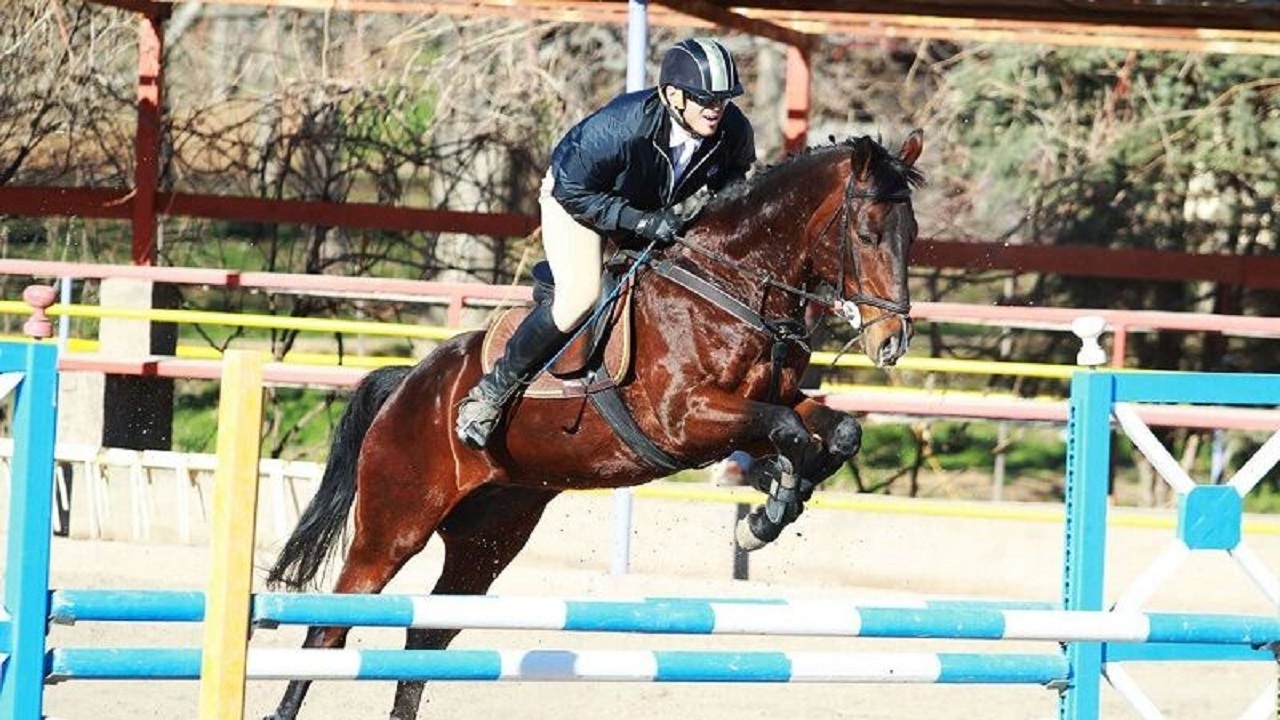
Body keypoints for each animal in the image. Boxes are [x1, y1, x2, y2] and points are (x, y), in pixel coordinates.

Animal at [262, 130, 921, 717]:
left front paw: (771, 505)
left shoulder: (758, 406)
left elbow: (833, 432)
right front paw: (765, 513)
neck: (729, 287)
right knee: (330, 630)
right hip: (394, 525)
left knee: (427, 636)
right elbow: (788, 429)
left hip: (488, 537)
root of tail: (407, 384)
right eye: (867, 234)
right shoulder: (686, 417)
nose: (891, 343)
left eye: (913, 235)